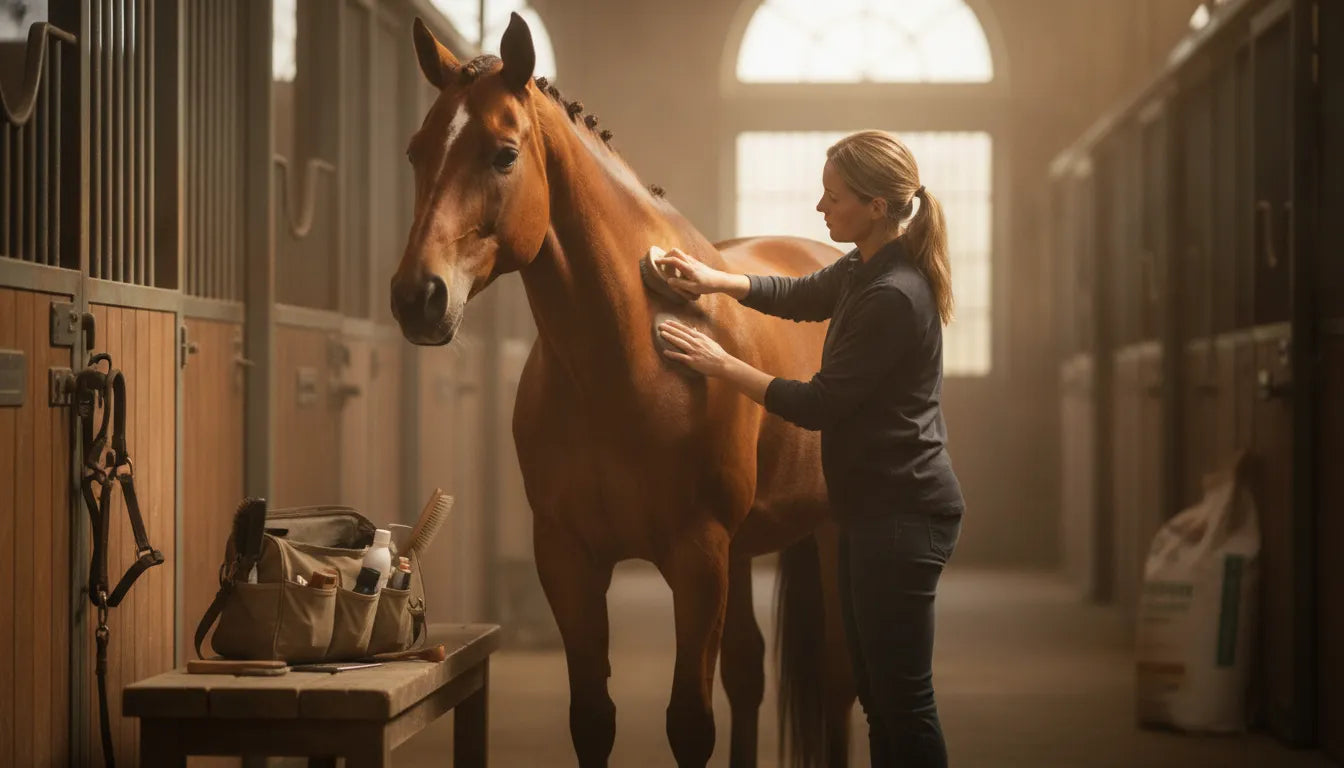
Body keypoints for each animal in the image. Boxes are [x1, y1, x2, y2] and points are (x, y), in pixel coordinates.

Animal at [391, 14, 856, 767]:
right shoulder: (569, 559)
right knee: (749, 674)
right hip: (747, 549)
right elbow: (592, 717)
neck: (628, 361)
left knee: (841, 681)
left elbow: (690, 721)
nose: (416, 297)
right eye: (416, 152)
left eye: (503, 154)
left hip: (832, 532)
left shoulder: (698, 558)